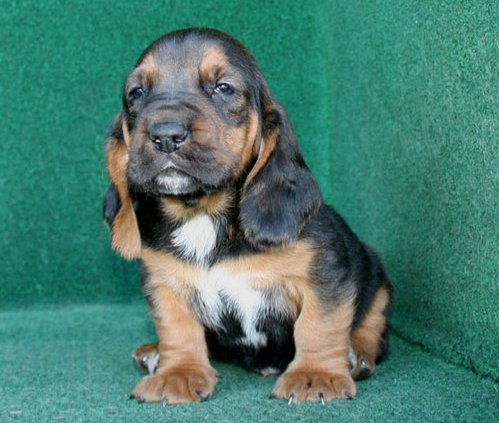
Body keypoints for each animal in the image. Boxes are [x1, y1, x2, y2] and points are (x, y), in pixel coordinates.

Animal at [103, 28, 392, 406]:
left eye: (224, 87)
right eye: (136, 93)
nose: (166, 135)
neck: (202, 213)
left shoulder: (325, 277)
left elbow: (318, 326)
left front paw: (315, 375)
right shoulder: (164, 284)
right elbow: (178, 329)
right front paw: (178, 373)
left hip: (378, 281)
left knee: (373, 331)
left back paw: (356, 355)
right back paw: (154, 353)